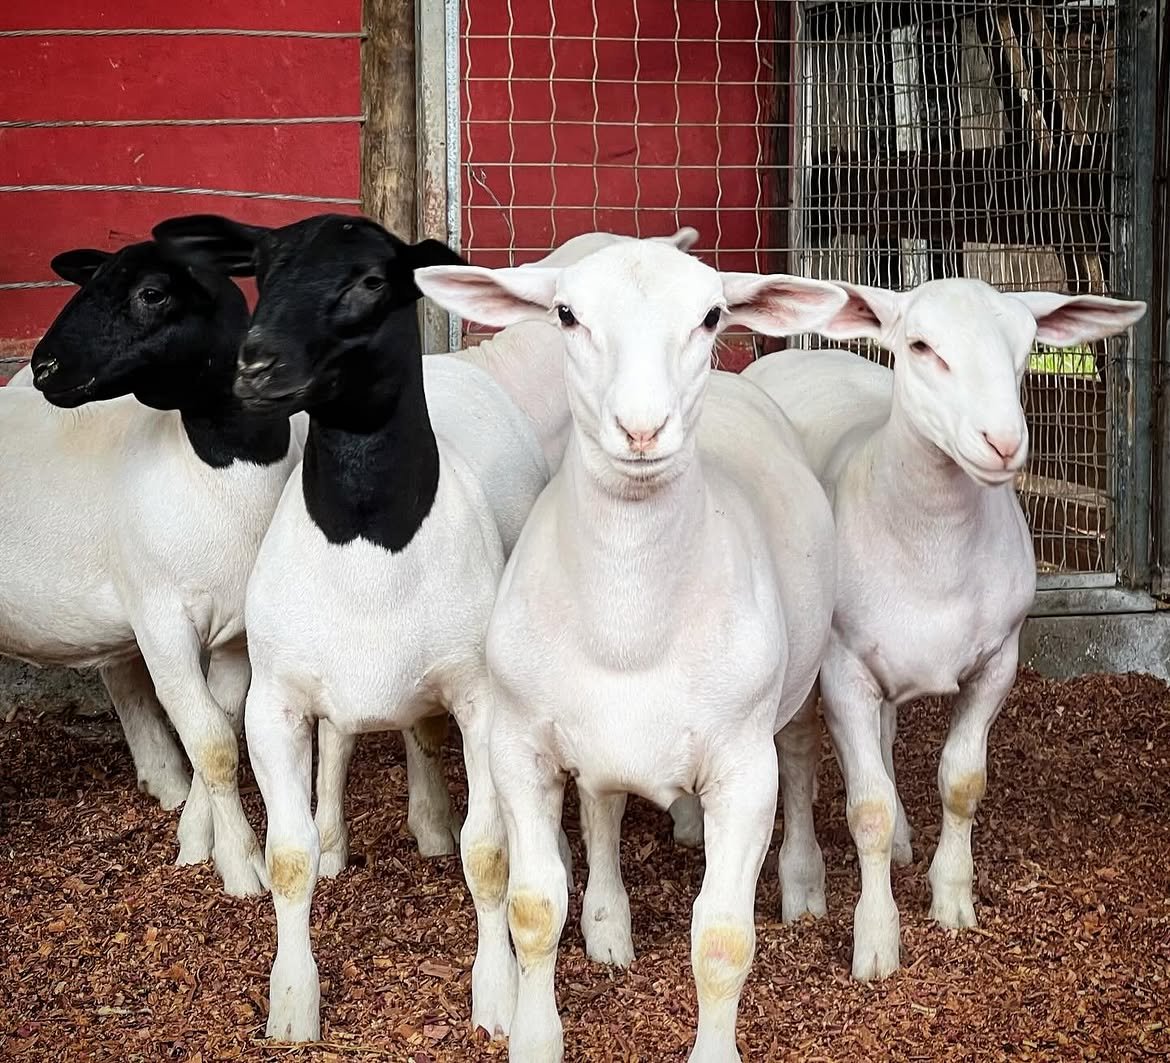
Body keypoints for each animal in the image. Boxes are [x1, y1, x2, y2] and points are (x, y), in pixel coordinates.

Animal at [2, 239, 306, 895]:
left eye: (151, 293)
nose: (46, 368)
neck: (221, 466)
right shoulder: (161, 617)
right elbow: (211, 740)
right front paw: (241, 866)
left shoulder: (236, 632)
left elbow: (218, 728)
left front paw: (195, 839)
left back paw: (163, 780)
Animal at [151, 210, 553, 1042]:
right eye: (263, 267)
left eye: (370, 279)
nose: (255, 363)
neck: (370, 536)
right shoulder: (272, 700)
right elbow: (287, 856)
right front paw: (292, 1002)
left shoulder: (481, 699)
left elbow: (488, 855)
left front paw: (495, 996)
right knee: (337, 743)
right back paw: (338, 838)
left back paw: (429, 822)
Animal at [415, 242, 847, 1062]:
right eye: (566, 314)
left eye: (711, 316)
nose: (642, 429)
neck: (629, 627)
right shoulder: (520, 747)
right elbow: (532, 907)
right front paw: (535, 1036)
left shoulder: (744, 770)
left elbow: (723, 939)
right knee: (603, 808)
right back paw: (609, 926)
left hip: (798, 688)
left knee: (804, 756)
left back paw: (804, 887)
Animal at [742, 278, 1147, 981]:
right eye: (921, 346)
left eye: (1027, 348)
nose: (1004, 442)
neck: (933, 542)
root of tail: (802, 352)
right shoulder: (843, 669)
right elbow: (866, 810)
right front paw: (876, 941)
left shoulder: (998, 661)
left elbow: (961, 783)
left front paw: (952, 900)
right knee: (796, 755)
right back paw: (803, 885)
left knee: (882, 740)